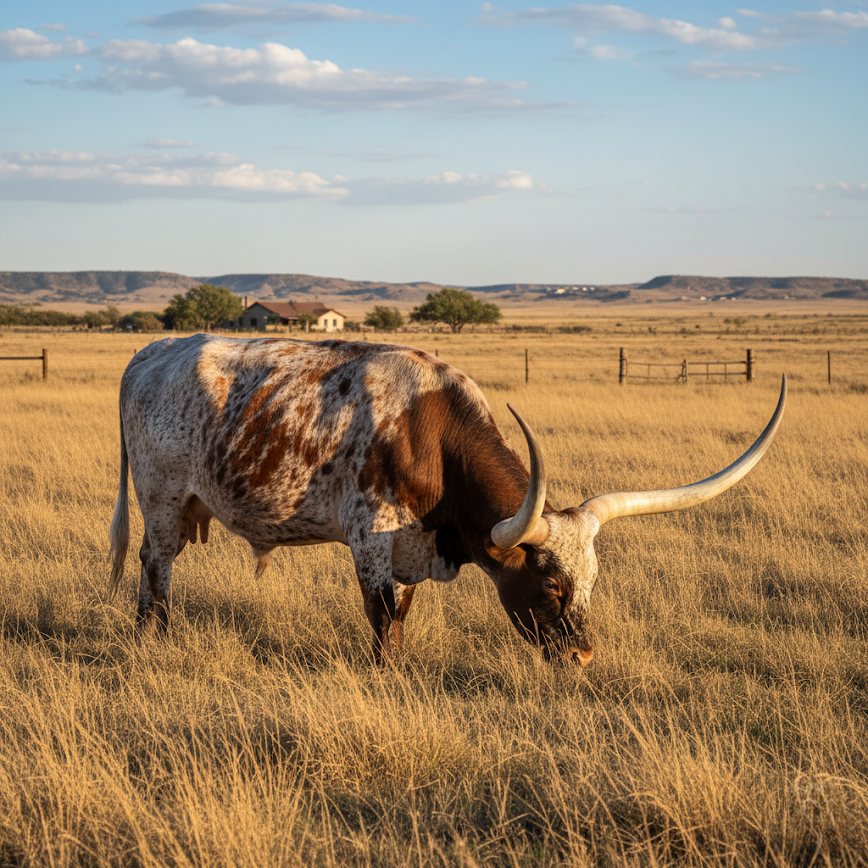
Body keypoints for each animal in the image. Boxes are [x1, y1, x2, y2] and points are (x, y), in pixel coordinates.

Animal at [109, 334, 786, 663]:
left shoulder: (410, 548)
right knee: (155, 566)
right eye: (551, 586)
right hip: (161, 499)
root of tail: (151, 353)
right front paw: (385, 675)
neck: (429, 433)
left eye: (593, 584)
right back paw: (155, 636)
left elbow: (402, 614)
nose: (584, 656)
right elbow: (382, 617)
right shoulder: (370, 538)